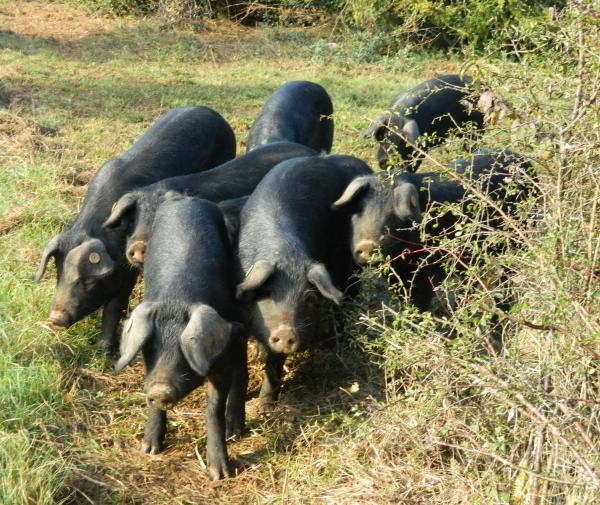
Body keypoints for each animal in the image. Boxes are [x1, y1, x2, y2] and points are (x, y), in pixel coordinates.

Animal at [34, 106, 237, 350]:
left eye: (89, 281)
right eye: (58, 272)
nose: (55, 319)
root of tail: (213, 113)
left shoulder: (127, 269)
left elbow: (115, 304)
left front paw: (104, 349)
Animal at [115, 194, 246, 480]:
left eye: (184, 350)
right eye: (149, 347)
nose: (160, 390)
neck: (177, 298)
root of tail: (185, 198)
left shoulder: (219, 359)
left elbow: (213, 410)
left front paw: (219, 474)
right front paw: (149, 449)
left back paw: (236, 431)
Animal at [234, 156, 370, 412]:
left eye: (309, 298)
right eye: (267, 294)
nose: (286, 332)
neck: (286, 255)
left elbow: (275, 363)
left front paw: (265, 407)